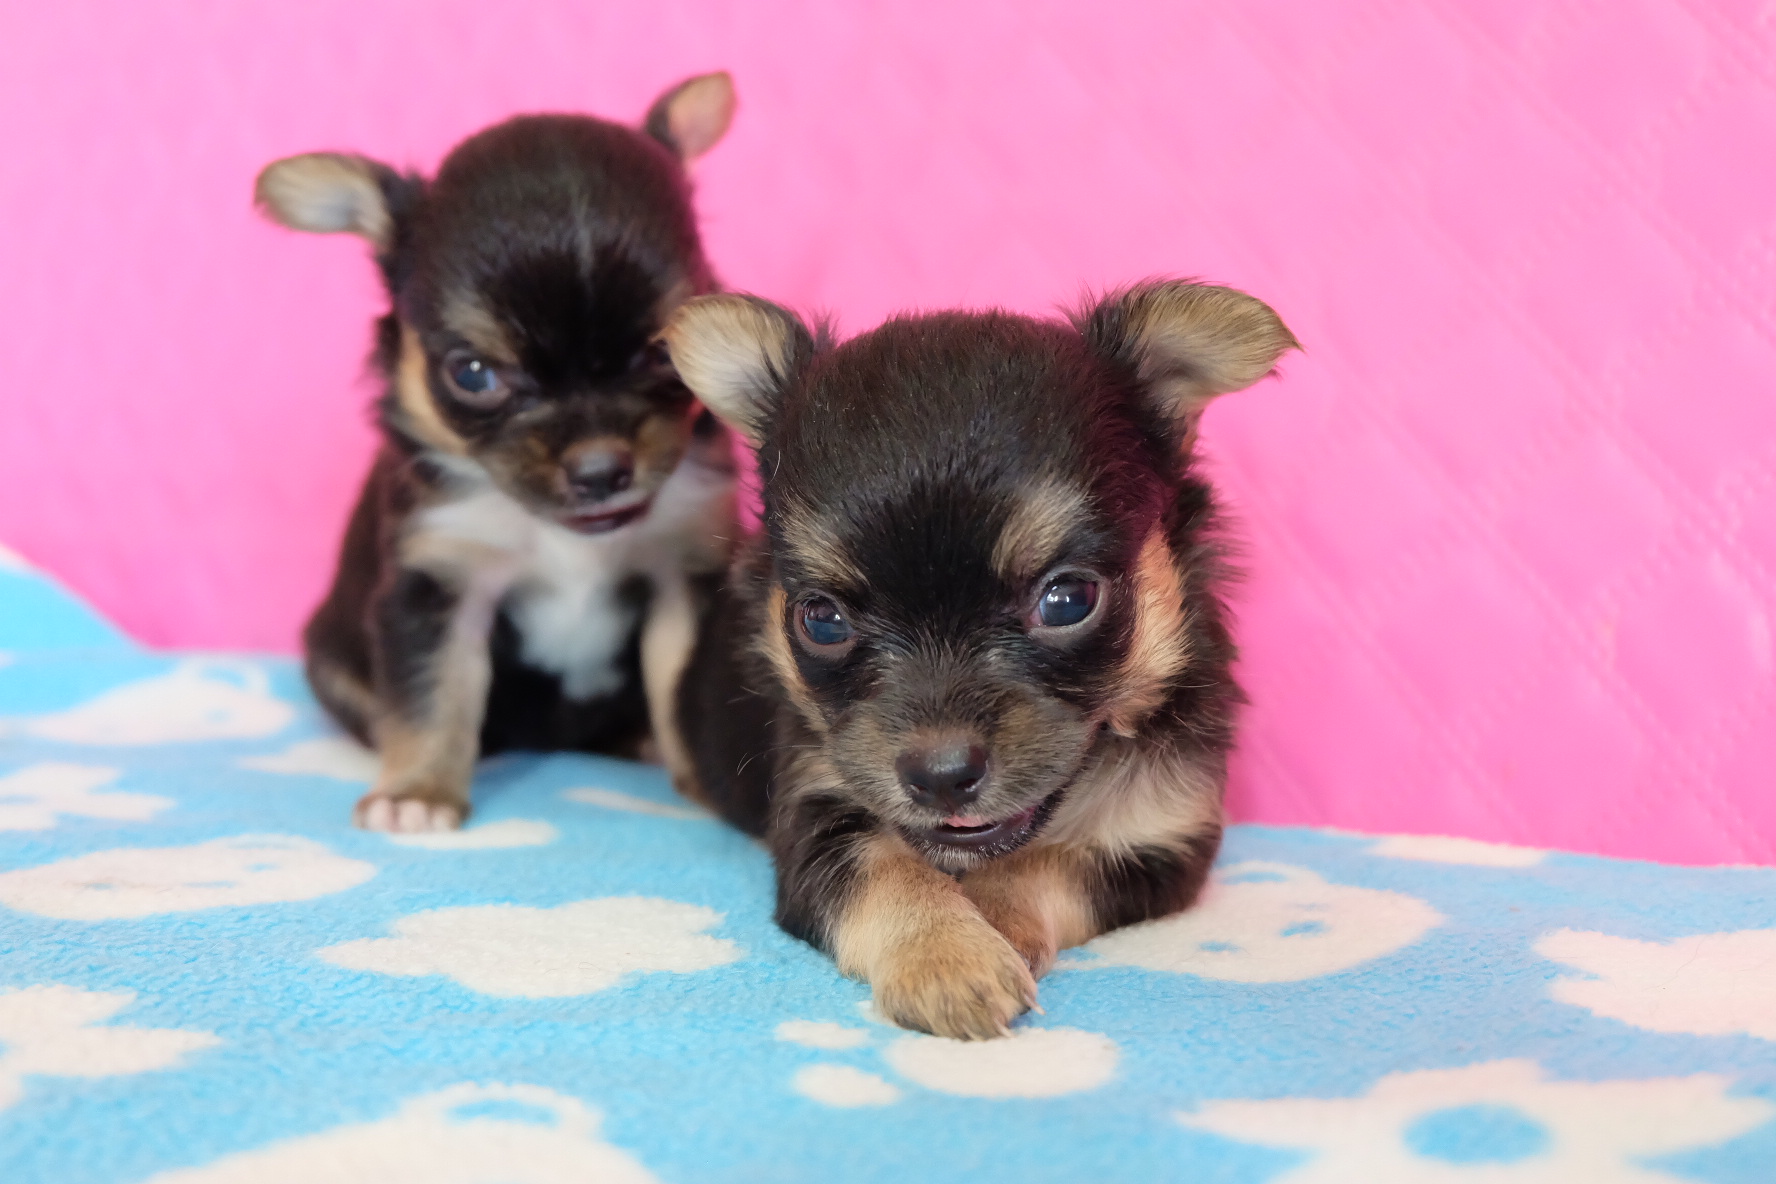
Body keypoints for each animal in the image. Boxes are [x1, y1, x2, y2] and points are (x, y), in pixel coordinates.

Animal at [255, 73, 739, 832]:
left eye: (666, 352)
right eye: (474, 375)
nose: (600, 470)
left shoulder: (680, 575)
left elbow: (682, 687)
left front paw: (705, 784)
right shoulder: (438, 587)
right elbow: (433, 694)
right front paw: (419, 792)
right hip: (332, 657)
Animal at [661, 281, 1297, 1038]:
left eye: (1067, 600)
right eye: (820, 619)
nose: (940, 776)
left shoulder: (1162, 839)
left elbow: (1045, 862)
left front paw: (988, 919)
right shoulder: (816, 811)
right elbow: (887, 866)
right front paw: (946, 954)